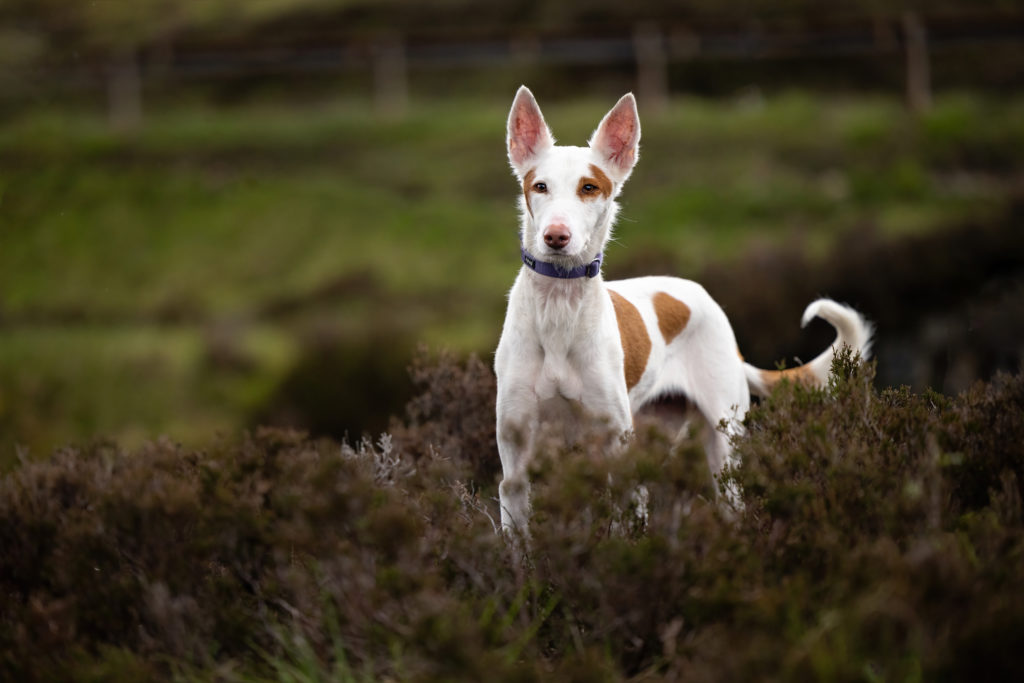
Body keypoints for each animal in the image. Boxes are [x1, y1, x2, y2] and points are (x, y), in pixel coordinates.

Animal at [495, 87, 872, 532]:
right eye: (539, 186)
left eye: (589, 187)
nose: (556, 236)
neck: (557, 308)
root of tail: (705, 298)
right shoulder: (515, 466)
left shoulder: (613, 448)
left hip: (722, 443)